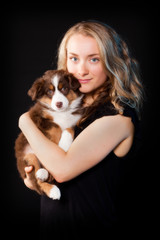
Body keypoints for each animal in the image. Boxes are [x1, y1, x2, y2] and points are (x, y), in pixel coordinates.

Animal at [14, 70, 83, 201]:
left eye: (64, 88)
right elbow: (56, 127)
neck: (62, 113)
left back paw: (44, 174)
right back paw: (50, 187)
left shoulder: (75, 120)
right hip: (28, 157)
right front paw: (58, 144)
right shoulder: (37, 117)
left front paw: (64, 145)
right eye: (49, 92)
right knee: (37, 181)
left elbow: (68, 129)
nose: (59, 104)